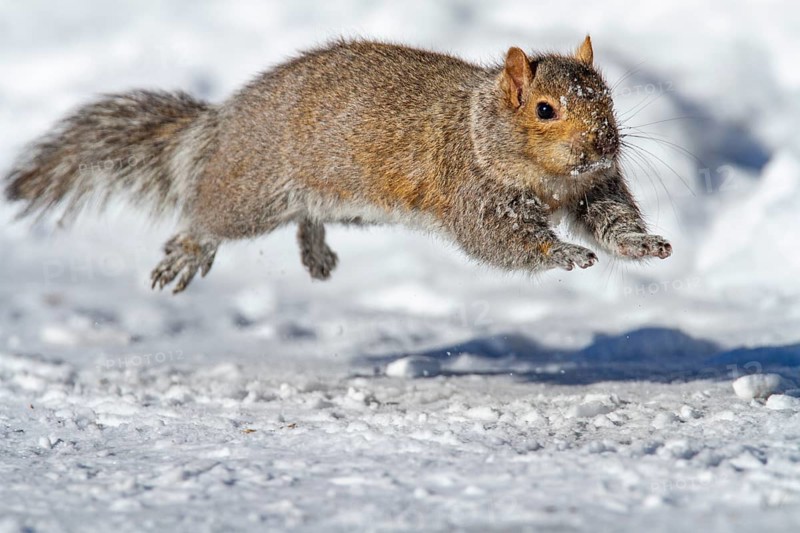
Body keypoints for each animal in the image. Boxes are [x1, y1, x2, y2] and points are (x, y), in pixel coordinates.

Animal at [5, 36, 671, 293]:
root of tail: (222, 124)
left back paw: (316, 253)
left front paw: (643, 244)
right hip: (253, 190)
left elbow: (612, 219)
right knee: (207, 217)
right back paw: (187, 252)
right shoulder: (472, 189)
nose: (604, 146)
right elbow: (502, 239)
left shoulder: (593, 188)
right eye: (544, 108)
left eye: (607, 96)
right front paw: (561, 252)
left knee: (308, 218)